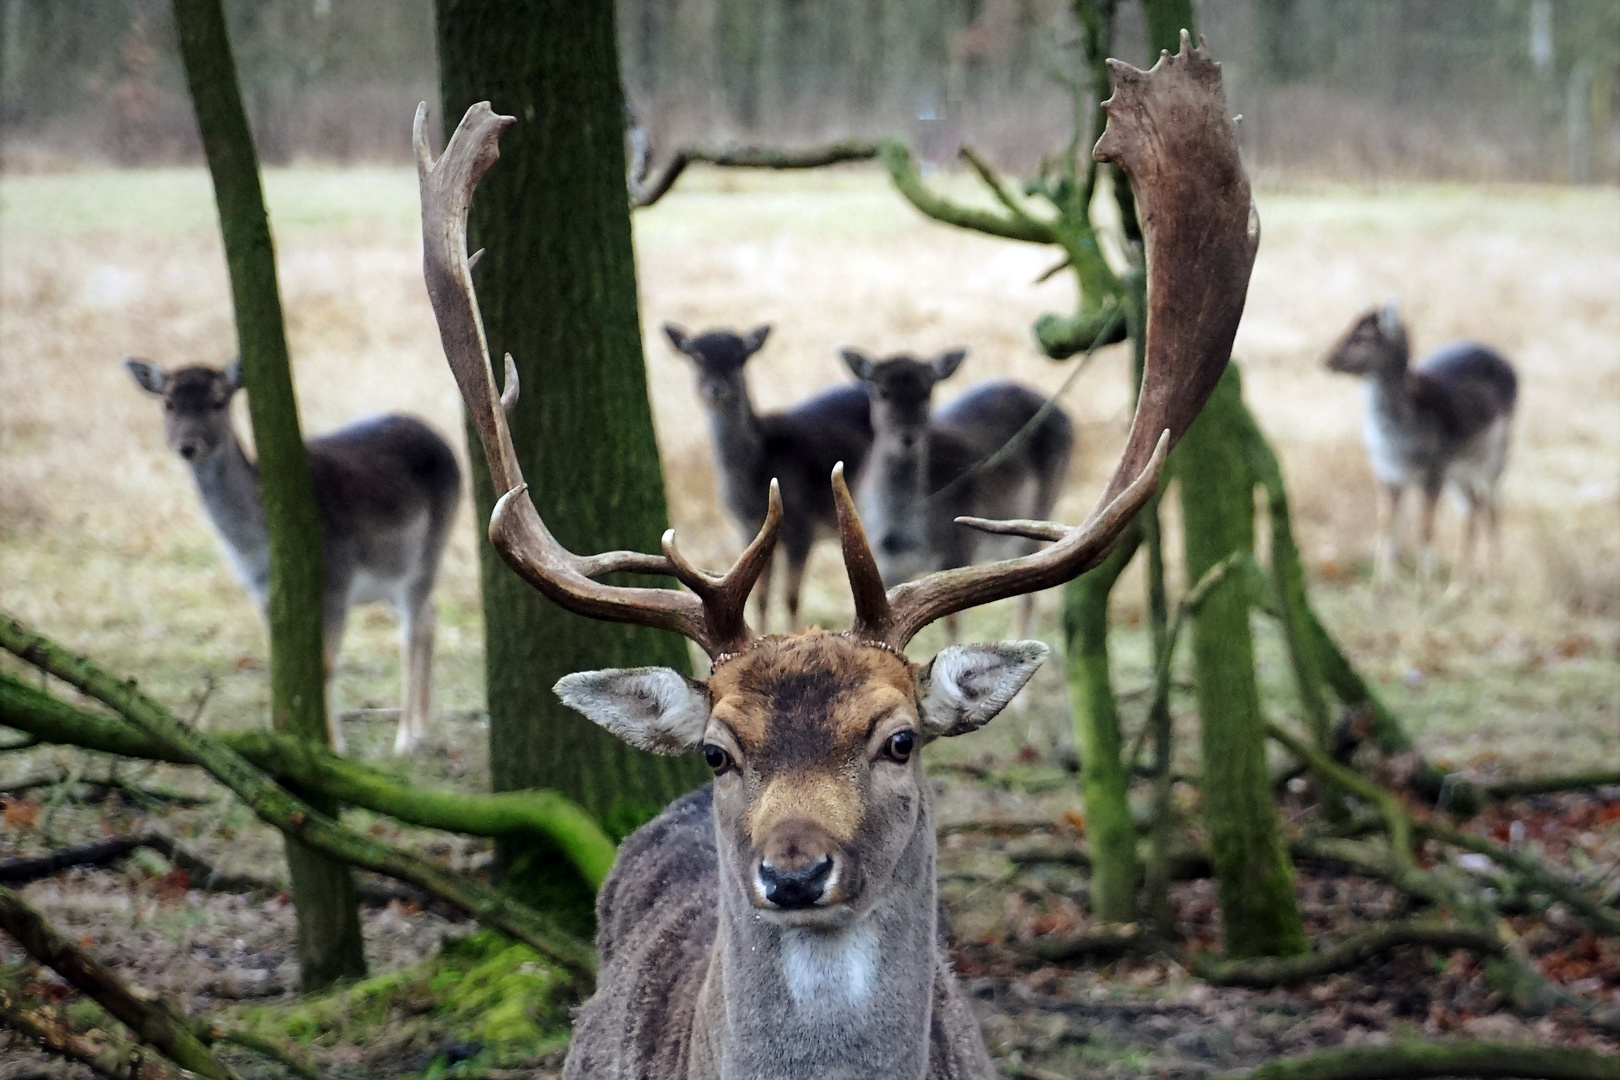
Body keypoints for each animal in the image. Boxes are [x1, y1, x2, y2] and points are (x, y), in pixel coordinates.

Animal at [121, 359, 456, 757]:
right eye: (168, 402)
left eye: (219, 401)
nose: (188, 446)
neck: (256, 547)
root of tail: (445, 443)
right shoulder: (263, 594)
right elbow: (285, 664)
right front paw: (285, 735)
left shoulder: (336, 581)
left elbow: (324, 666)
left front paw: (332, 749)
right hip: (391, 576)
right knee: (431, 615)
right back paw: (421, 727)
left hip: (428, 551)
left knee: (412, 631)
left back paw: (407, 737)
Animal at [660, 327, 874, 634]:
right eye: (696, 356)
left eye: (739, 356)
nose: (716, 387)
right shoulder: (748, 528)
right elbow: (760, 596)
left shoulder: (802, 525)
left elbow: (791, 597)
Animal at [835, 351, 1075, 647]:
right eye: (881, 391)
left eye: (926, 391)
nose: (907, 436)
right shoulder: (884, 562)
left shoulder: (958, 551)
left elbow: (952, 624)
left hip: (1043, 508)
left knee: (1029, 599)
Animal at [1321, 299, 1509, 586]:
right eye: (1348, 326)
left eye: (1363, 337)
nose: (1325, 360)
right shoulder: (1385, 473)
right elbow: (1386, 526)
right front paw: (1382, 584)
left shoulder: (1434, 471)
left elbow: (1425, 529)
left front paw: (1424, 585)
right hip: (1459, 472)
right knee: (1472, 508)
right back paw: (1457, 586)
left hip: (1495, 459)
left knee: (1493, 509)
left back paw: (1496, 583)